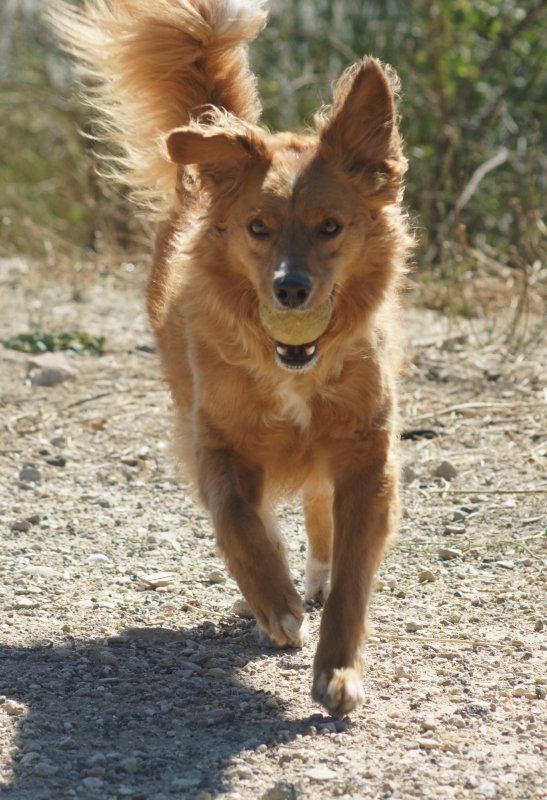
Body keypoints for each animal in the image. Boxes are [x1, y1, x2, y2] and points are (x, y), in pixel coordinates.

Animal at [50, 0, 412, 720]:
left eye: (331, 226)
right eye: (257, 227)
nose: (290, 289)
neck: (294, 370)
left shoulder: (366, 452)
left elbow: (353, 571)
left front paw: (337, 667)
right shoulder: (215, 439)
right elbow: (236, 521)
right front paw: (272, 602)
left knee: (319, 515)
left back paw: (313, 578)